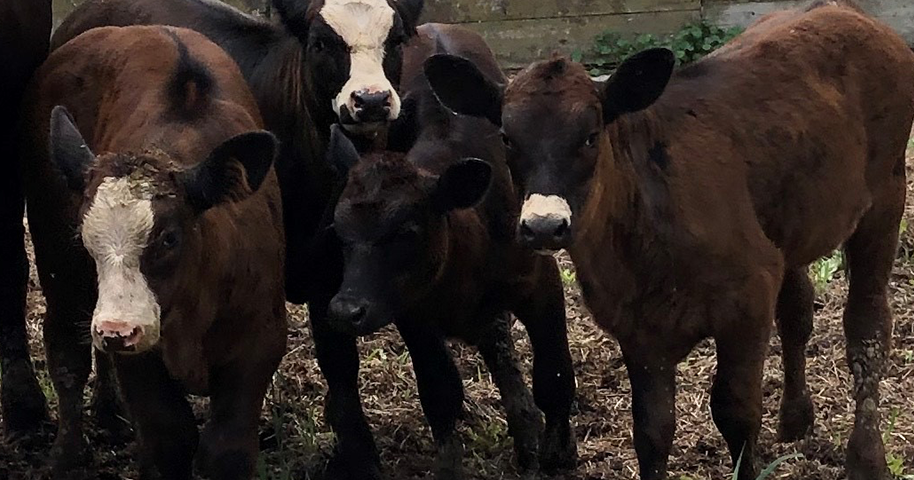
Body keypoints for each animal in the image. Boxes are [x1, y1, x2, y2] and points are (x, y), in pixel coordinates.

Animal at [19, 25, 287, 479]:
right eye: (85, 237)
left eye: (169, 238)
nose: (116, 329)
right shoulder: (139, 361)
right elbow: (169, 438)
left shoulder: (260, 341)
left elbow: (225, 449)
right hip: (59, 265)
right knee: (67, 350)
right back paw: (68, 452)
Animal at [323, 26, 576, 480]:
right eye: (339, 233)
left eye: (407, 231)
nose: (345, 310)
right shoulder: (410, 312)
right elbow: (440, 393)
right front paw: (450, 463)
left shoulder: (541, 281)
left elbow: (555, 373)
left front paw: (557, 452)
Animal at [424, 1, 914, 479]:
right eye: (507, 138)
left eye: (591, 136)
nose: (544, 225)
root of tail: (848, 12)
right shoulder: (637, 329)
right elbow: (652, 431)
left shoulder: (747, 298)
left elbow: (735, 413)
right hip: (791, 221)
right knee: (796, 309)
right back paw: (795, 419)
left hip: (887, 193)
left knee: (867, 325)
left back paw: (866, 458)